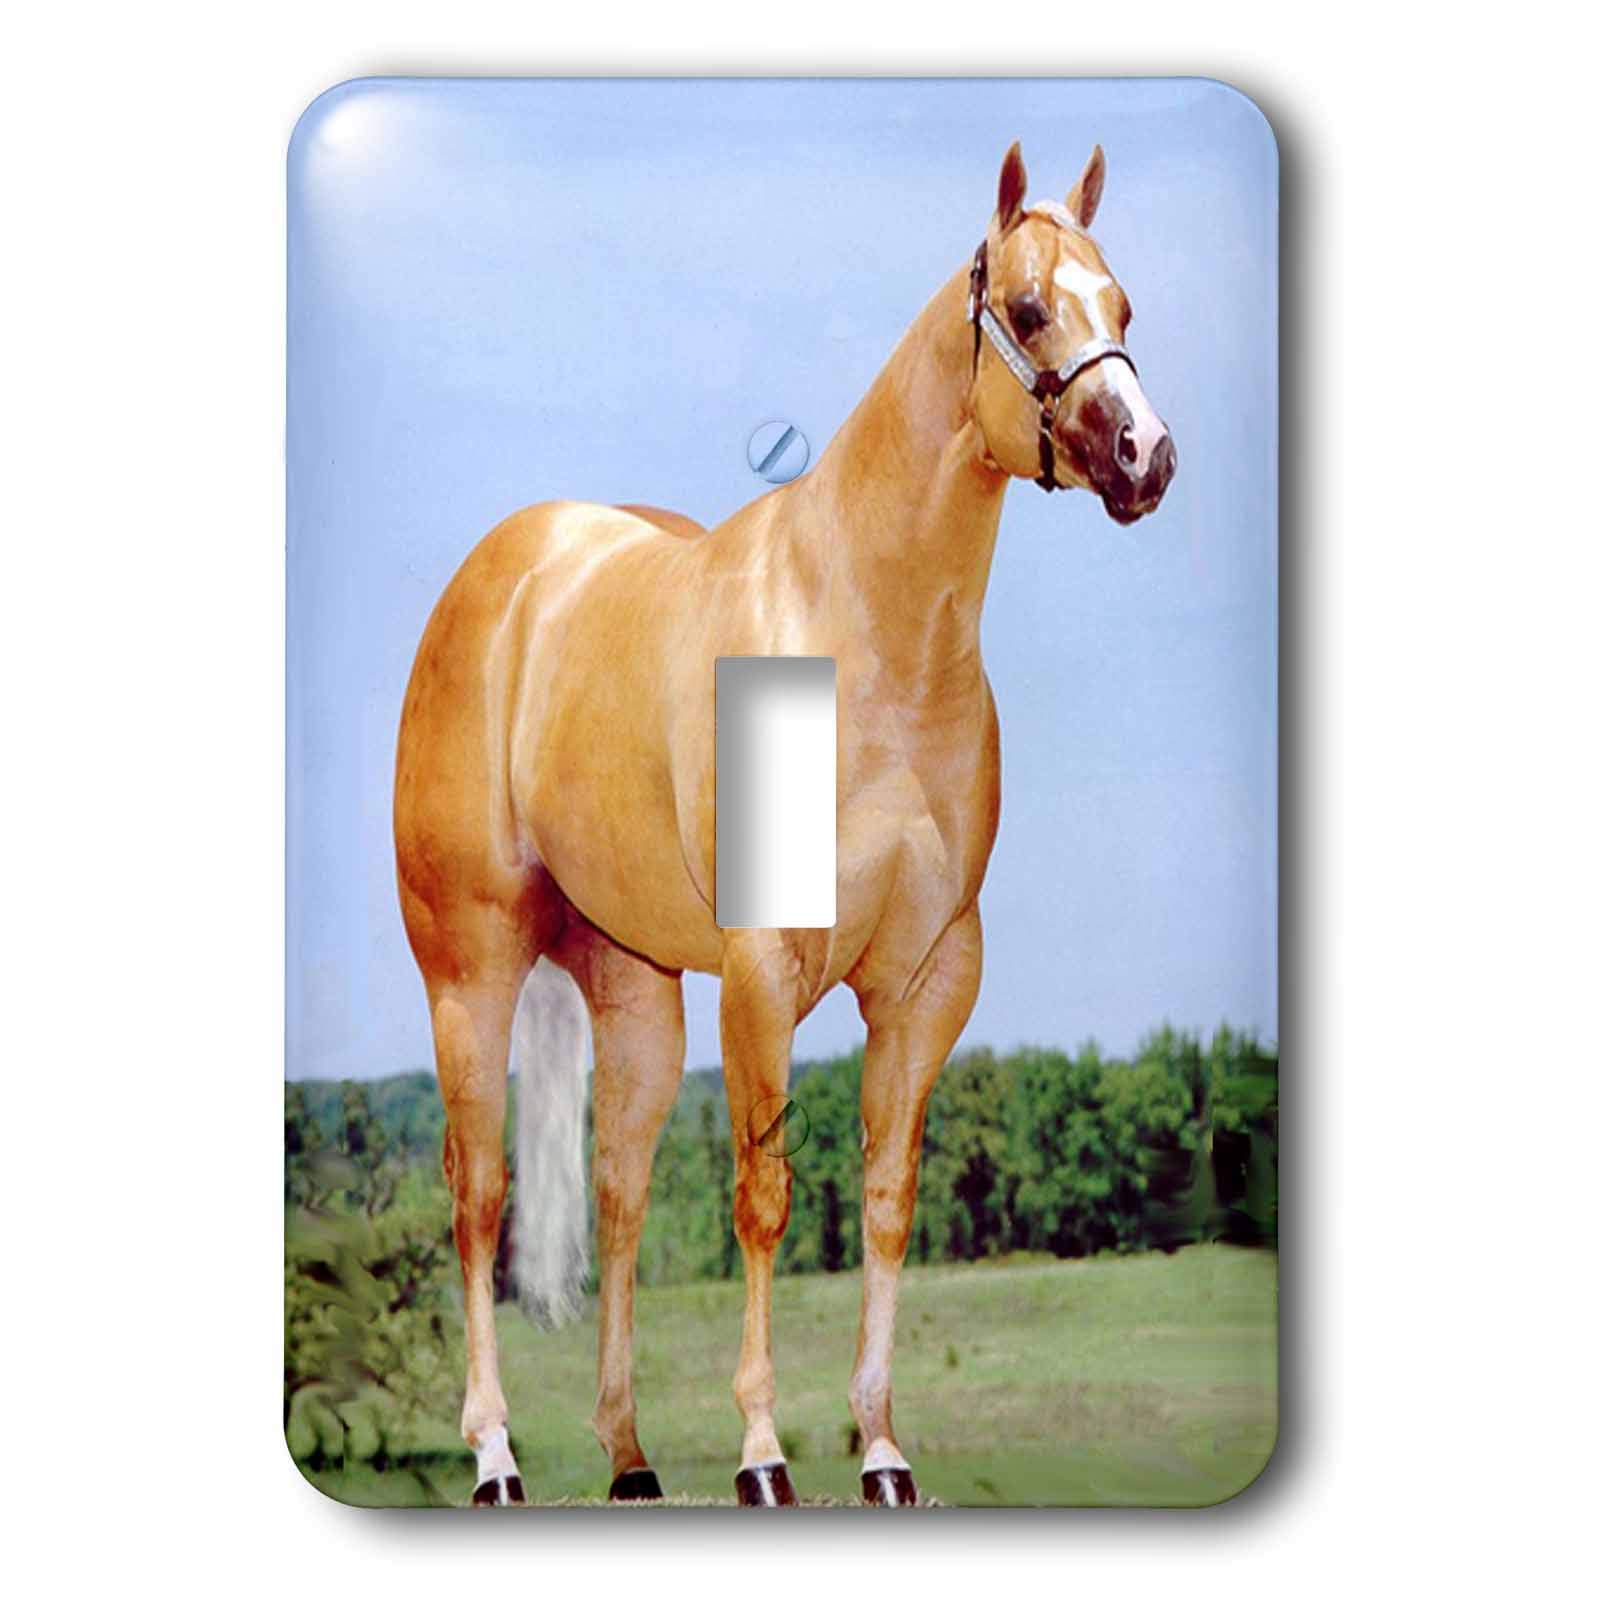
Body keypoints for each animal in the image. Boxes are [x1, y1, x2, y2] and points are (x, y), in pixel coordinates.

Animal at [393, 140, 1175, 1508]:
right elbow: (764, 1193)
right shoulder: (763, 968)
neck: (869, 640)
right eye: (1030, 310)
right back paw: (494, 1455)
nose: (1148, 455)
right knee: (478, 1197)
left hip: (632, 986)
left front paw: (881, 1450)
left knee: (619, 1191)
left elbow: (884, 1196)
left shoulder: (928, 978)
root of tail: (505, 574)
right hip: (469, 971)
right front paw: (763, 1452)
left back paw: (631, 1459)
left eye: (1122, 303)